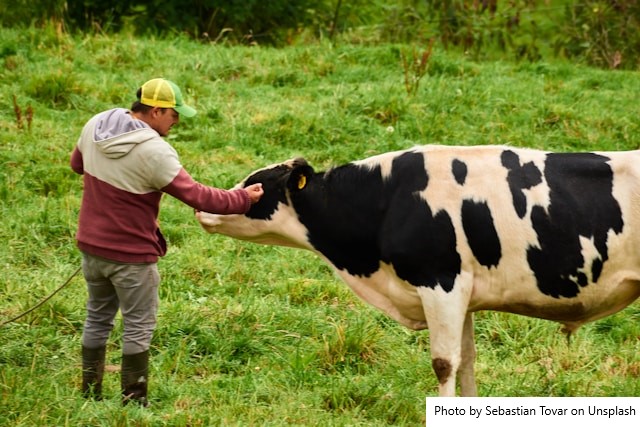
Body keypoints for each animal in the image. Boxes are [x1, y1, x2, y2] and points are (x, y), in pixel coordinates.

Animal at [196, 144, 640, 396]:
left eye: (256, 186)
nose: (203, 208)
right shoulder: (463, 293)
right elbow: (467, 360)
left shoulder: (440, 282)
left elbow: (444, 363)